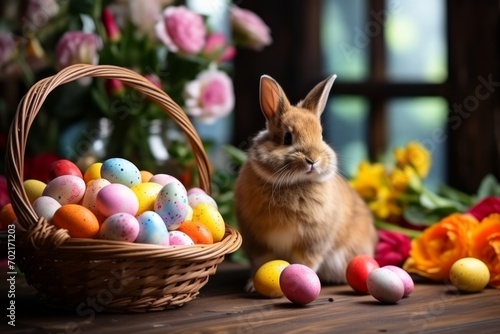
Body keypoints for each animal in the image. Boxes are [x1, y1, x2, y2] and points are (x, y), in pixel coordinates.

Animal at [236, 73, 376, 290]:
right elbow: (264, 262)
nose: (313, 160)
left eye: (321, 135)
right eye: (287, 137)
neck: (293, 183)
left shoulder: (312, 242)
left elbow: (305, 262)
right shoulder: (258, 242)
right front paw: (252, 285)